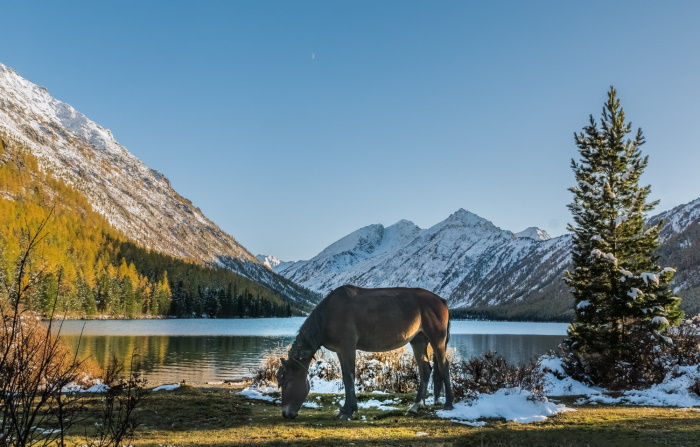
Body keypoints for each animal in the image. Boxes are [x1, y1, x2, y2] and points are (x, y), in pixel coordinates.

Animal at [276, 286, 452, 422]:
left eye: (286, 383)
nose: (286, 414)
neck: (327, 315)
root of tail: (442, 301)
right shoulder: (340, 350)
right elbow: (346, 377)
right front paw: (346, 409)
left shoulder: (348, 348)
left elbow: (349, 377)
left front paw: (348, 411)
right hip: (418, 340)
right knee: (425, 370)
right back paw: (415, 406)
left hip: (437, 339)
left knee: (444, 367)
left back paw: (448, 404)